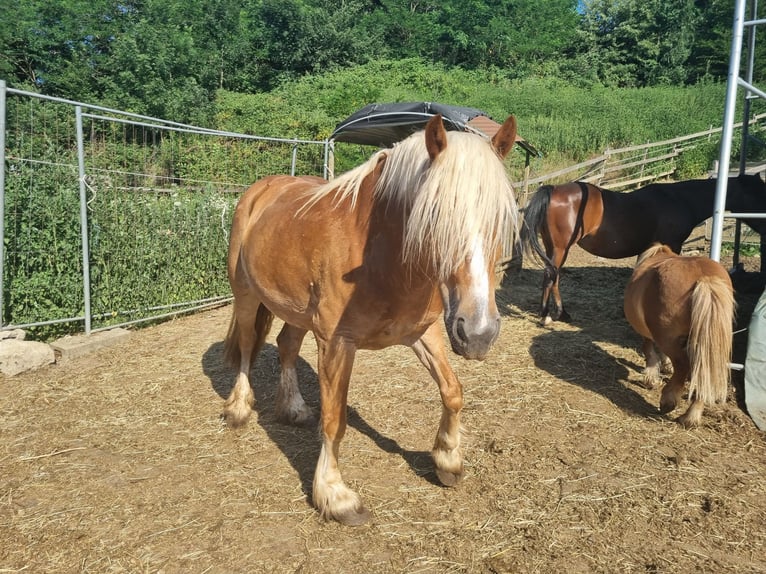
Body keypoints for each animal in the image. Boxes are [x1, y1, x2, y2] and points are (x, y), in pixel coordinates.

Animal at [222, 114, 519, 525]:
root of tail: (261, 188)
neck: (381, 252)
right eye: (434, 218)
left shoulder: (424, 332)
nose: (478, 334)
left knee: (286, 346)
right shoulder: (336, 342)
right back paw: (238, 408)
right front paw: (335, 496)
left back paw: (294, 408)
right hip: (246, 294)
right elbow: (334, 420)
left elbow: (453, 391)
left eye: (501, 220)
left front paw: (448, 460)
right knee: (249, 344)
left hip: (297, 309)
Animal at [521, 174, 765, 325]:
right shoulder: (672, 245)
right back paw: (548, 315)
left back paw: (559, 314)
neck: (680, 199)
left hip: (553, 247)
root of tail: (554, 189)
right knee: (551, 276)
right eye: (757, 195)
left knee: (553, 277)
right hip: (560, 248)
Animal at [623, 243, 735, 428]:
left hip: (670, 339)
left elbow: (648, 349)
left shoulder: (651, 334)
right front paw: (664, 366)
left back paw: (668, 401)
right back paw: (691, 416)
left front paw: (650, 377)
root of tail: (705, 279)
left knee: (683, 365)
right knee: (702, 373)